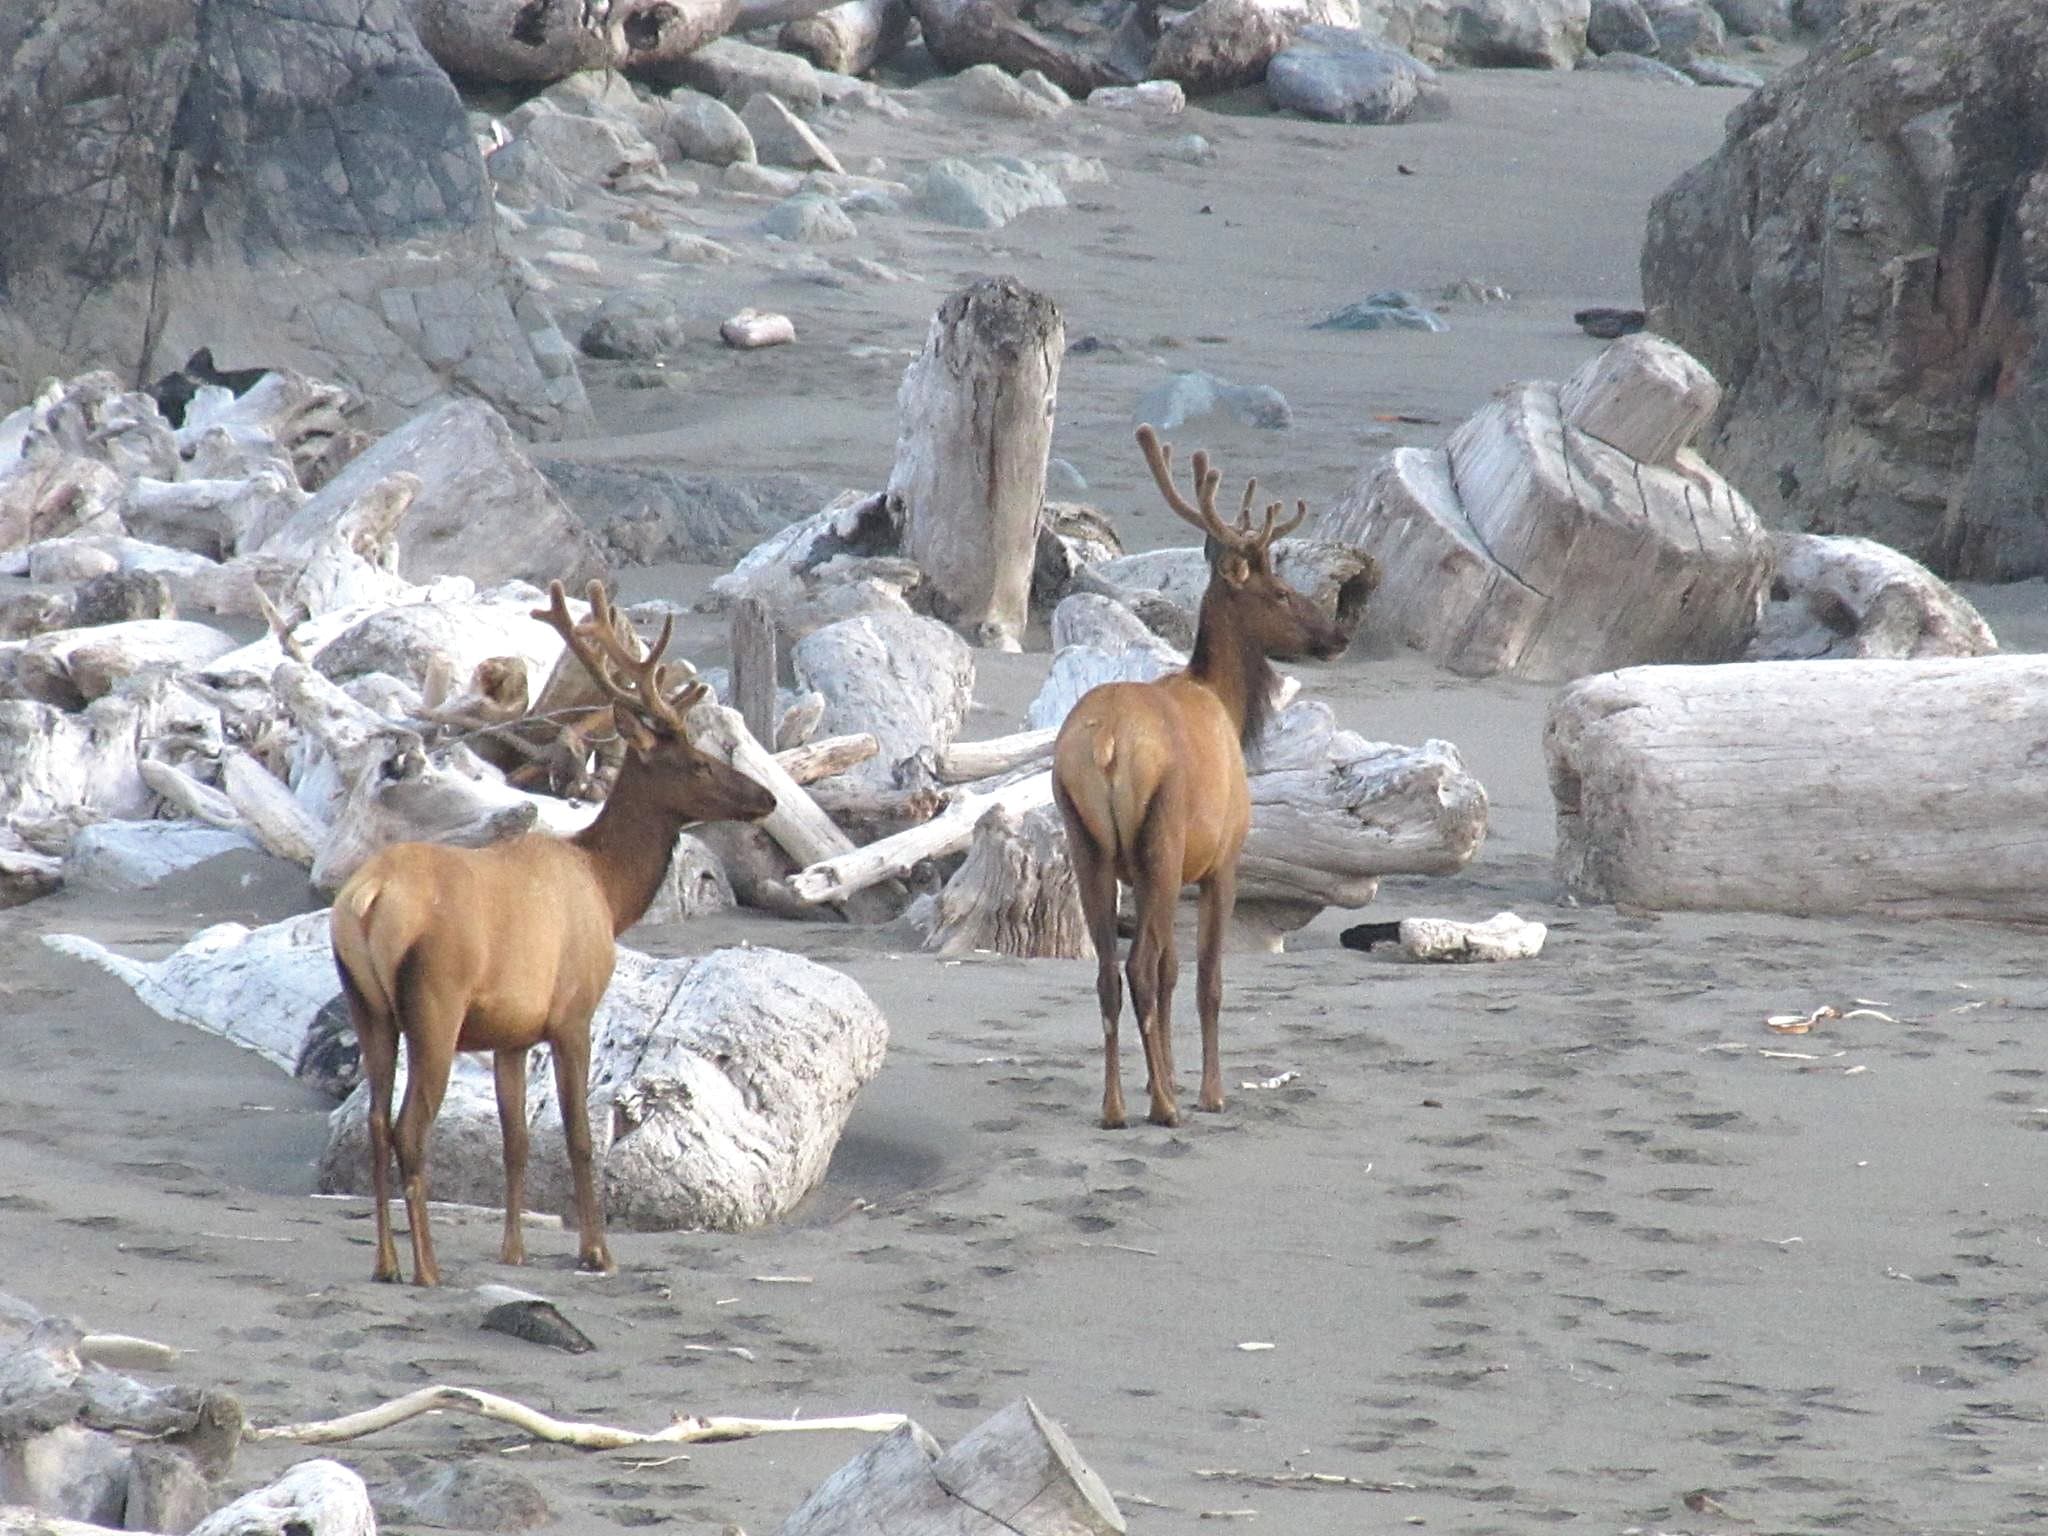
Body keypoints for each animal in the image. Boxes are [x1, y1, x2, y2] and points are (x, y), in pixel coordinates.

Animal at [327, 581, 774, 1286]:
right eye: (699, 763)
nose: (768, 799)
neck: (607, 890)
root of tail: (366, 901)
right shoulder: (572, 1012)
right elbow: (579, 1135)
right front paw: (597, 1252)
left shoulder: (512, 1033)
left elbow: (516, 1140)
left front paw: (514, 1251)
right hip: (434, 1003)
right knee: (408, 1127)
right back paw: (427, 1267)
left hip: (366, 1003)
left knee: (375, 1122)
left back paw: (387, 1263)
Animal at [1048, 430, 1351, 1130]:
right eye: (1280, 591)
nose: (1338, 633)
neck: (1228, 703)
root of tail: (1105, 745)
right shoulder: (1223, 859)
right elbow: (1205, 975)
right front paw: (1206, 1090)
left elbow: (1172, 969)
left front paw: (1169, 1078)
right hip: (1160, 840)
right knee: (1137, 967)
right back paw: (1163, 1109)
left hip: (1087, 841)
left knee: (1109, 971)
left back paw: (1115, 1107)